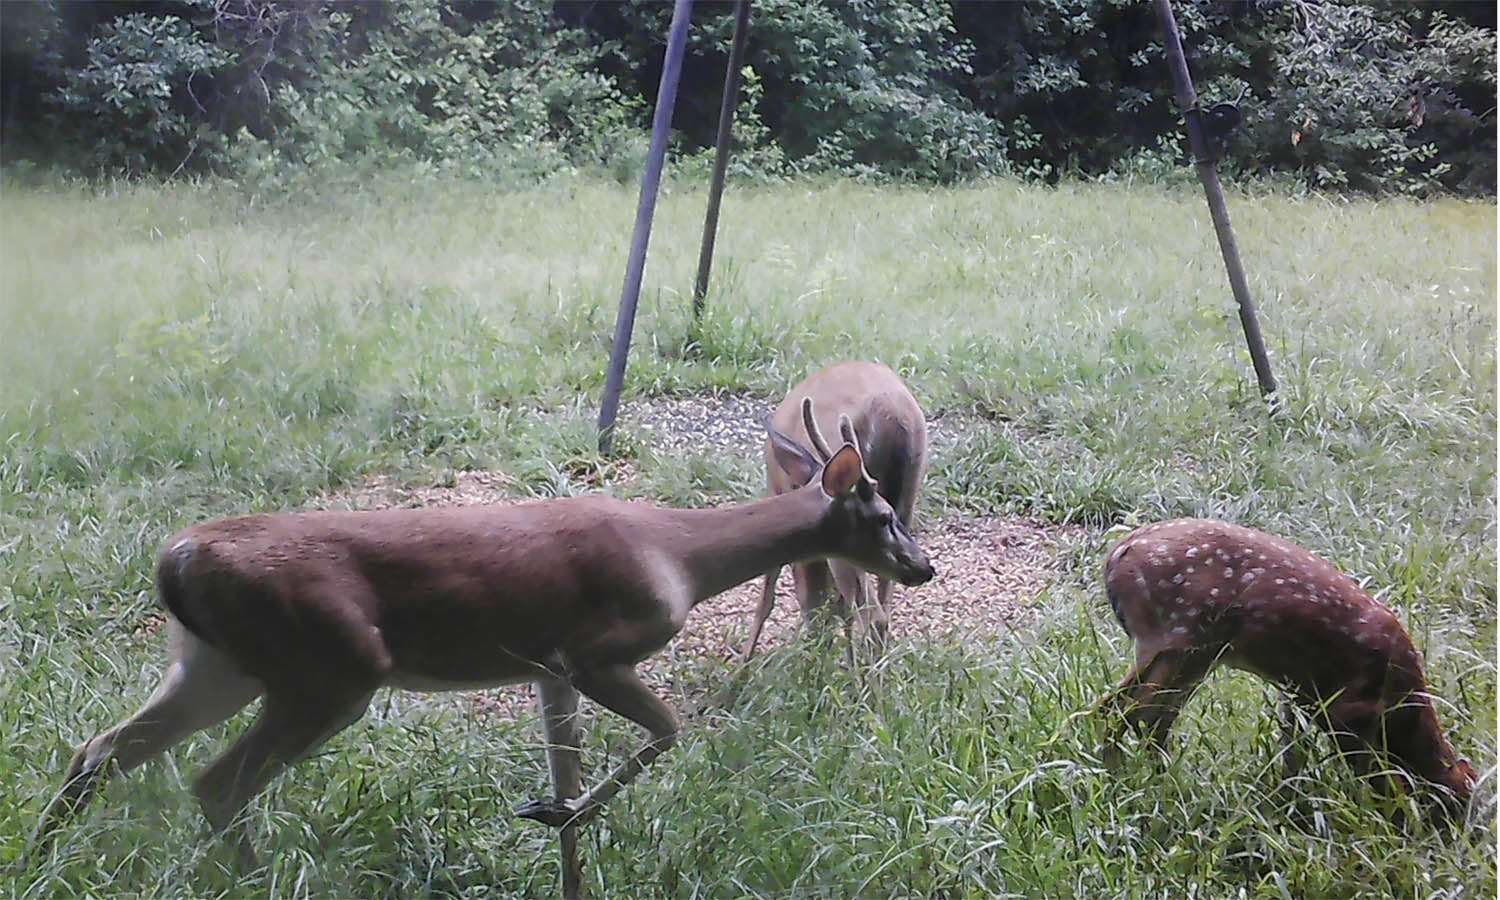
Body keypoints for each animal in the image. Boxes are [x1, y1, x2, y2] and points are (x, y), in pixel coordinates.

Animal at [35, 414, 930, 894]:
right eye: (884, 516)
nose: (923, 566)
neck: (678, 555)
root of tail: (176, 559)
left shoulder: (546, 670)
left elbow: (568, 772)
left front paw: (560, 828)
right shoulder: (597, 650)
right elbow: (671, 731)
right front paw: (558, 815)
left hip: (217, 664)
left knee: (101, 748)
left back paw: (40, 859)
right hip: (329, 666)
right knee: (216, 781)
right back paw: (255, 880)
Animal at [738, 361, 924, 663]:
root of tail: (890, 414)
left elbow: (773, 592)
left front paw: (744, 662)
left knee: (871, 616)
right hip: (905, 506)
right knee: (879, 608)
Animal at [1098, 513, 1482, 822]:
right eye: (1456, 807)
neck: (1403, 710)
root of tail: (1116, 555)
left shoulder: (1301, 694)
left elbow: (1291, 753)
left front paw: (1288, 803)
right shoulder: (1349, 710)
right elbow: (1377, 777)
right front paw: (1388, 818)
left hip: (1194, 655)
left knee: (1148, 718)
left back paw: (1156, 782)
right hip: (1176, 637)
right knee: (1121, 711)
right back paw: (1123, 782)